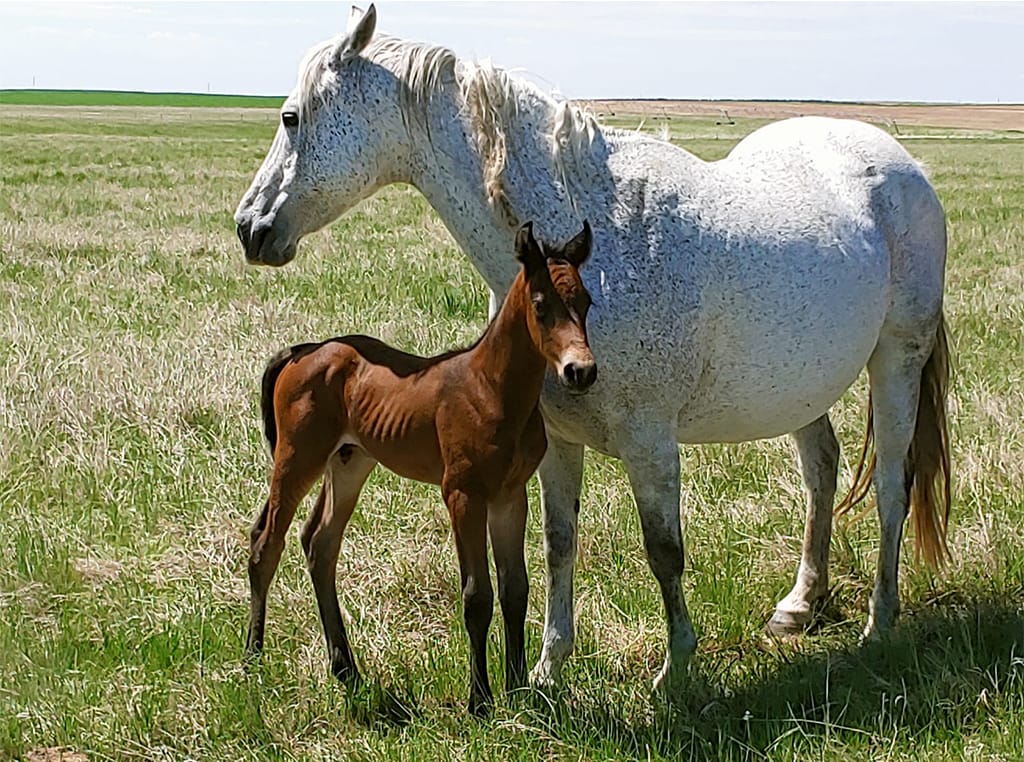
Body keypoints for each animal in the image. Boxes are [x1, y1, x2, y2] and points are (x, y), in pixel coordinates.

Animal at [246, 221, 595, 715]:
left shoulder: (510, 496)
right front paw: (479, 700)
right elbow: (477, 595)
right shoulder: (463, 494)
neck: (491, 389)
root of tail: (304, 350)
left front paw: (518, 689)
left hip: (349, 462)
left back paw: (347, 670)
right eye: (542, 306)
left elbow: (516, 589)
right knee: (266, 543)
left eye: (586, 302)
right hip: (297, 456)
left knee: (320, 543)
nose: (580, 371)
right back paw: (253, 659)